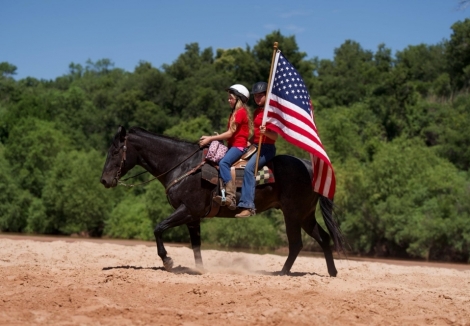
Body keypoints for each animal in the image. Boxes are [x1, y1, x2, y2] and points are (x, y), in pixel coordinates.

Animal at [100, 126, 346, 276]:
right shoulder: (193, 218)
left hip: (292, 214)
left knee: (296, 244)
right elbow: (196, 246)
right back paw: (332, 272)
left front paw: (167, 261)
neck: (183, 165)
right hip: (305, 215)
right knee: (323, 238)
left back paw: (283, 273)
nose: (104, 180)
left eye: (115, 152)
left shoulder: (187, 210)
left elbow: (158, 228)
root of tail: (308, 165)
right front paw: (200, 270)